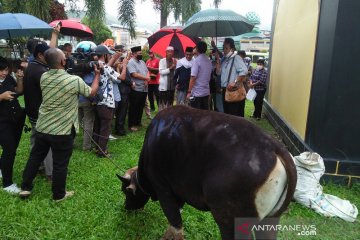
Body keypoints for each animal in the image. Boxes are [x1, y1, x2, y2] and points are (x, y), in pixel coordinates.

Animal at [118, 106, 296, 239]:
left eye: (126, 191)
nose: (126, 207)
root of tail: (275, 148)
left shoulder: (163, 189)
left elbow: (175, 223)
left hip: (230, 222)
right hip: (270, 221)